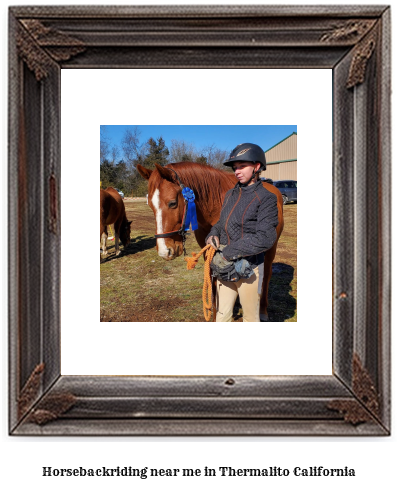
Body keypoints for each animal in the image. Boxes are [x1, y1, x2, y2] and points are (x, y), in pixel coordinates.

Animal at [138, 162, 284, 322]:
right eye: (150, 205)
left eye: (172, 203)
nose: (165, 252)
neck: (214, 205)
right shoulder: (208, 249)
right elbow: (212, 283)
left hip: (270, 250)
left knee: (266, 276)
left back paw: (263, 310)